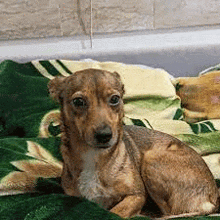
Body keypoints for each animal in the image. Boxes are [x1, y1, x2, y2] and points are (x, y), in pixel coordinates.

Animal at [48, 68, 218, 218]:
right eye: (78, 101)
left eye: (115, 99)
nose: (104, 135)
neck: (95, 157)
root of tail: (212, 199)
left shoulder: (136, 195)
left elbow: (114, 212)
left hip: (151, 159)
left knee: (170, 212)